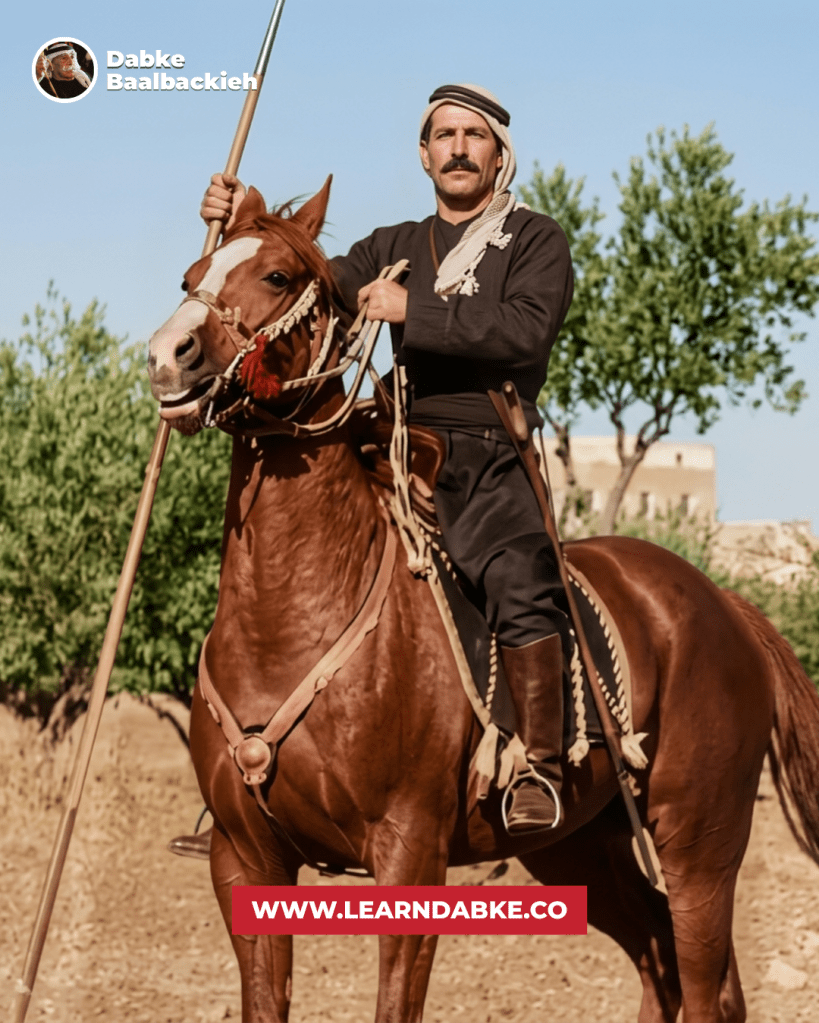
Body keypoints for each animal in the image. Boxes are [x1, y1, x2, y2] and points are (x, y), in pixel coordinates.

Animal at [147, 179, 819, 1023]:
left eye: (275, 275)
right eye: (190, 274)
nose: (167, 357)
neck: (292, 618)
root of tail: (724, 604)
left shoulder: (409, 854)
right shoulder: (244, 859)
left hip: (698, 846)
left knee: (699, 986)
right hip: (585, 849)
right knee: (659, 970)